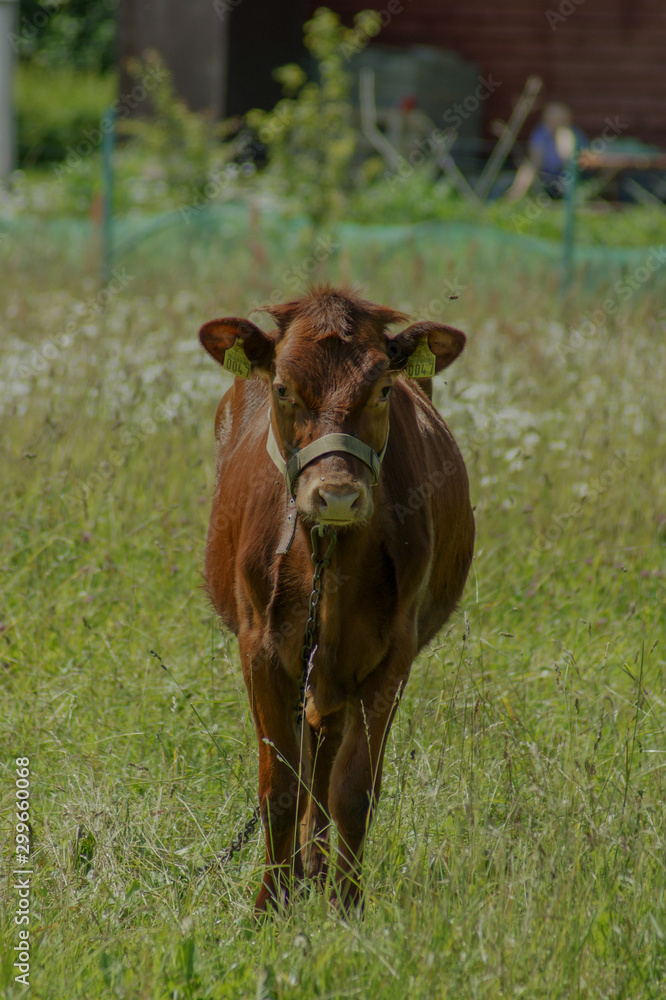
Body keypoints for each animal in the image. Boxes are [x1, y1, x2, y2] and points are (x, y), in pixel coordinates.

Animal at [198, 286, 474, 914]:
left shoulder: (393, 654)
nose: (338, 495)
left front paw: (346, 906)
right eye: (283, 388)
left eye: (382, 390)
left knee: (325, 763)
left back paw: (318, 869)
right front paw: (269, 906)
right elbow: (278, 785)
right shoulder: (259, 647)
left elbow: (353, 789)